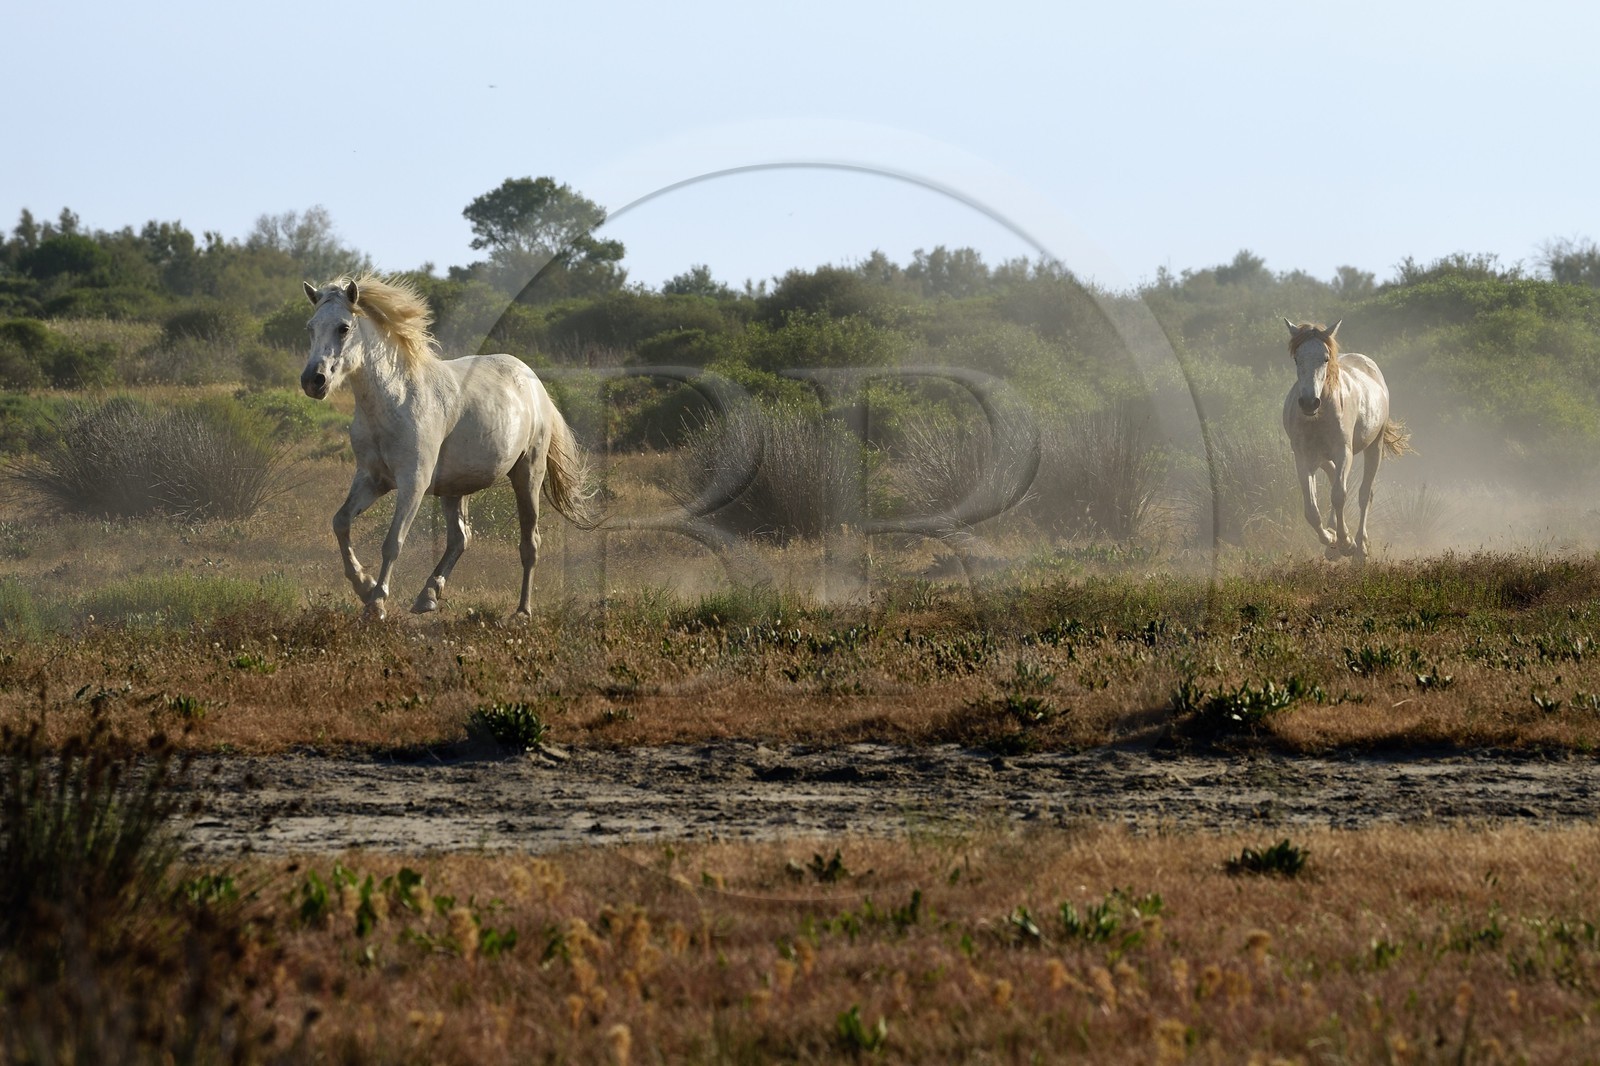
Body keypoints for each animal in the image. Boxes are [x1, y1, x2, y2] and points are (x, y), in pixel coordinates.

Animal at [301, 275, 594, 619]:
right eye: (311, 327)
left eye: (344, 327)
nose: (313, 381)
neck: (394, 401)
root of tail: (536, 386)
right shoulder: (372, 479)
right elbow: (341, 522)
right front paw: (363, 584)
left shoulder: (413, 482)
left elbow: (393, 542)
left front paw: (376, 602)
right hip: (454, 488)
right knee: (460, 538)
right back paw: (428, 595)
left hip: (527, 475)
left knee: (529, 544)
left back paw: (522, 612)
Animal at [1281, 319, 1410, 559]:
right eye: (1296, 358)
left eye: (1325, 358)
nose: (1309, 403)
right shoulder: (1303, 458)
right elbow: (1311, 510)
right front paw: (1331, 539)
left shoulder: (1344, 453)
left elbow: (1339, 496)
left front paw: (1346, 543)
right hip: (1322, 457)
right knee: (1334, 478)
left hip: (1374, 447)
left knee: (1364, 495)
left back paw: (1360, 549)